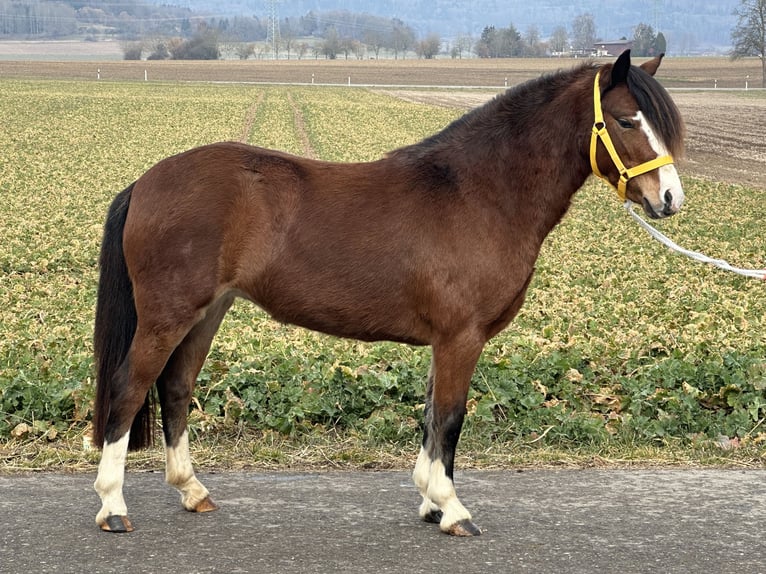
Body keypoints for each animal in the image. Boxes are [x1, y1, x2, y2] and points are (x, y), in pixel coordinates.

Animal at [93, 51, 688, 536]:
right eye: (627, 119)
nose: (669, 199)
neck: (479, 193)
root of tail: (145, 183)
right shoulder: (461, 337)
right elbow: (450, 417)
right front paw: (453, 509)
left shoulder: (445, 340)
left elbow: (430, 416)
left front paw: (430, 502)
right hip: (167, 315)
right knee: (129, 388)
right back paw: (113, 506)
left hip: (207, 312)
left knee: (175, 388)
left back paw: (192, 492)